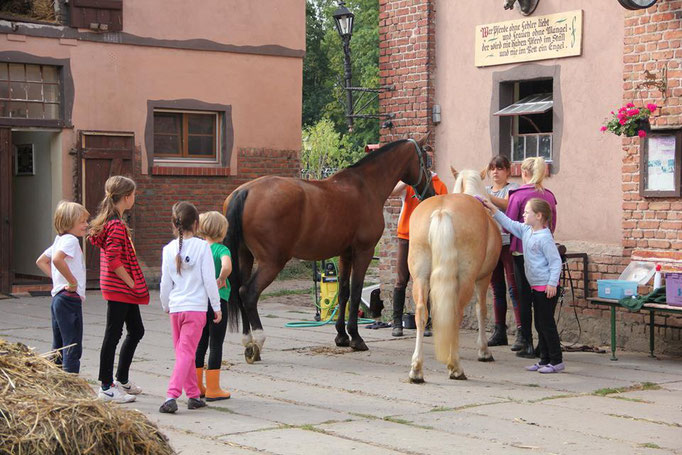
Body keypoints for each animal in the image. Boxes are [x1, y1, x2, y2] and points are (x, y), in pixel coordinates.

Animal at [223, 135, 436, 364]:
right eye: (426, 161)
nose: (430, 193)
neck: (366, 186)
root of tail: (244, 191)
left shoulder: (345, 254)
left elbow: (343, 293)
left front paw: (342, 336)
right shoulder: (364, 252)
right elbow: (355, 292)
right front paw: (356, 338)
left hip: (245, 257)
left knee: (240, 291)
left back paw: (248, 341)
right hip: (272, 262)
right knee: (249, 293)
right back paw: (257, 342)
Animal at [404, 169, 500, 382]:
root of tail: (442, 211)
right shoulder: (484, 279)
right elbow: (481, 310)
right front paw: (484, 351)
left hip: (420, 278)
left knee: (422, 313)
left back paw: (416, 370)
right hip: (466, 279)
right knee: (456, 313)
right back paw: (455, 367)